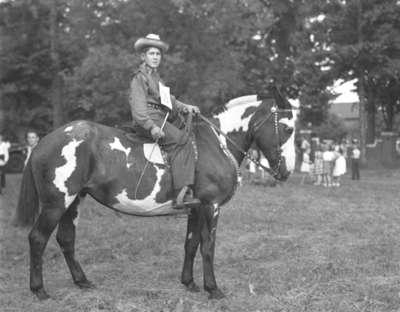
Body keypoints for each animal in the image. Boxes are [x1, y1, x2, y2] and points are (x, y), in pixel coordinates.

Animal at [13, 90, 294, 300]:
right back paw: (39, 290)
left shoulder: (194, 208)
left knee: (66, 239)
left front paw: (189, 283)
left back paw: (82, 281)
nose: (286, 171)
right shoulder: (210, 206)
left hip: (73, 201)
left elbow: (191, 243)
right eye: (288, 129)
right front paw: (213, 289)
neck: (215, 144)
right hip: (56, 204)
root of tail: (43, 142)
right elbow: (208, 247)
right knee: (37, 238)